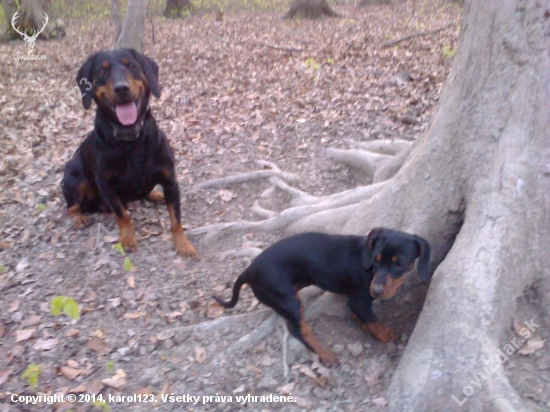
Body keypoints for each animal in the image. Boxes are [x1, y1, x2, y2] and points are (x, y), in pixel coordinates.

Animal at [61, 46, 198, 256]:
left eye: (132, 66)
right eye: (102, 71)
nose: (121, 88)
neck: (131, 138)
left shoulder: (170, 180)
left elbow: (176, 220)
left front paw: (183, 244)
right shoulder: (105, 184)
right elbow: (122, 214)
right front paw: (127, 238)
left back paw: (156, 195)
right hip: (74, 175)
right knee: (72, 207)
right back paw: (80, 218)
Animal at [215, 229, 432, 366]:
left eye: (399, 264)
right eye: (376, 260)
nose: (377, 290)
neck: (369, 268)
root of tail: (249, 270)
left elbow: (363, 317)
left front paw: (361, 323)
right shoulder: (358, 299)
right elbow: (372, 319)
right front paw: (383, 334)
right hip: (289, 300)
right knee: (298, 329)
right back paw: (325, 354)